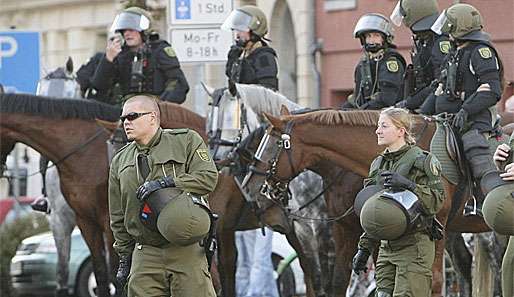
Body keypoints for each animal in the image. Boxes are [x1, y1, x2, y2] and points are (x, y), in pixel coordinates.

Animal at [240, 108, 500, 296]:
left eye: (273, 144)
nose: (249, 187)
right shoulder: (346, 231)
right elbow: (340, 280)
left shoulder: (435, 229)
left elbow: (431, 281)